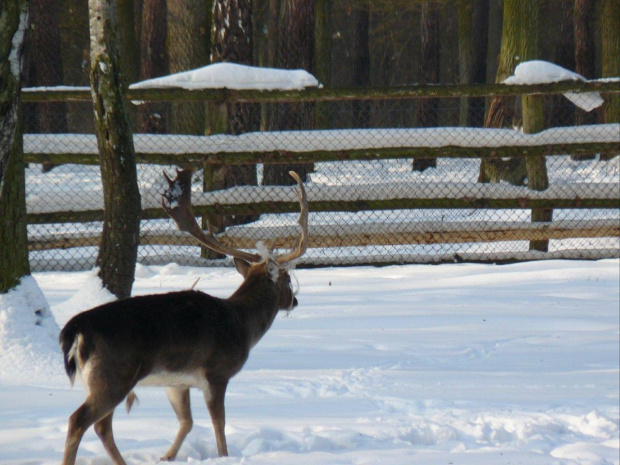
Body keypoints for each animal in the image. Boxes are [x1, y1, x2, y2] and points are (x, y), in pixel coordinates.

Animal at [60, 169, 308, 462]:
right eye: (288, 280)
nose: (295, 300)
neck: (243, 325)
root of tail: (77, 329)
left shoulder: (177, 381)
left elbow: (186, 422)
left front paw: (166, 456)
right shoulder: (216, 372)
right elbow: (219, 423)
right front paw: (223, 456)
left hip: (102, 379)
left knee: (102, 426)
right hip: (114, 374)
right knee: (79, 420)